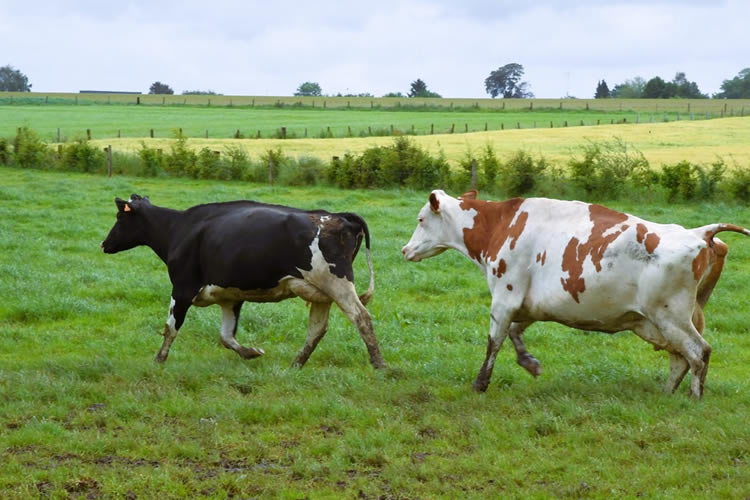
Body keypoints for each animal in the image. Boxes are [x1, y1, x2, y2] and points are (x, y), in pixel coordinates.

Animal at [101, 193, 388, 370]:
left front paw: (159, 360)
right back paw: (295, 365)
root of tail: (338, 216)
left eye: (119, 218)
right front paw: (252, 353)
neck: (178, 230)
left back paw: (380, 365)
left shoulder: (182, 289)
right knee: (317, 329)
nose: (104, 244)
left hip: (337, 283)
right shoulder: (230, 297)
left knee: (361, 317)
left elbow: (171, 328)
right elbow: (226, 336)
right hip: (320, 292)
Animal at [402, 189, 748, 396]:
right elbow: (515, 333)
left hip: (670, 316)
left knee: (698, 353)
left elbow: (494, 341)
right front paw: (530, 363)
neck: (500, 224)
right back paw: (667, 395)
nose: (405, 249)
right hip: (670, 320)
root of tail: (700, 232)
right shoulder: (532, 303)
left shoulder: (505, 296)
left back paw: (693, 398)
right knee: (681, 358)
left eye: (420, 219)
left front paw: (480, 384)